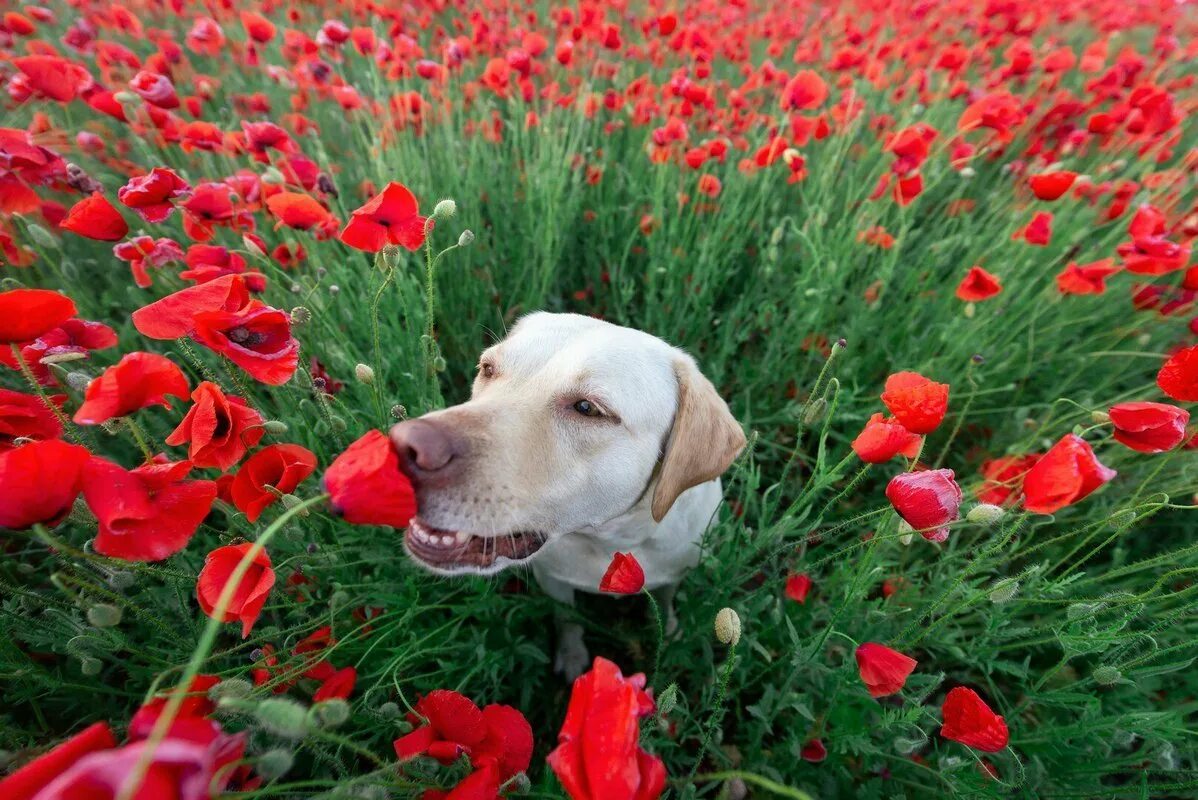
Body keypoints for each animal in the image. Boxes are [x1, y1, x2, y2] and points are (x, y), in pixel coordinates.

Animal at [388, 311, 742, 675]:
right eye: (488, 368)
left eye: (587, 408)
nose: (404, 446)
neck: (610, 542)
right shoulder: (554, 580)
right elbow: (566, 619)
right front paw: (572, 657)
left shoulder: (675, 572)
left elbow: (664, 600)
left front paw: (668, 636)